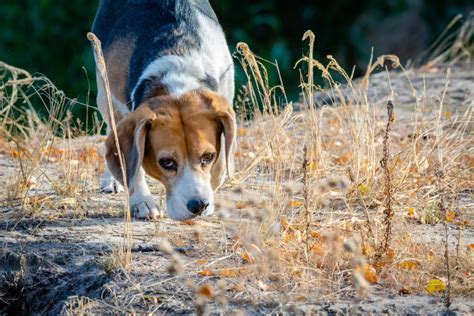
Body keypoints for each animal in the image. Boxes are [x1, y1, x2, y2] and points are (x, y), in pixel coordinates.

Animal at [90, 0, 235, 220]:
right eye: (166, 162)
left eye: (208, 156)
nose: (199, 206)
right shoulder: (117, 106)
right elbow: (130, 165)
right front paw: (142, 201)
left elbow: (221, 164)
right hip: (103, 92)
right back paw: (112, 179)